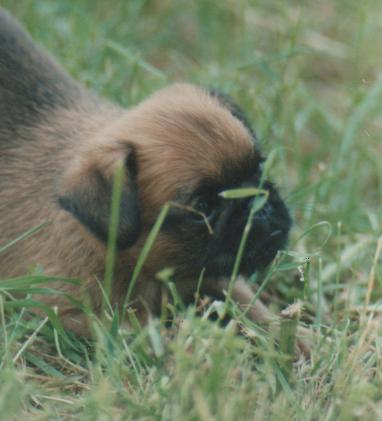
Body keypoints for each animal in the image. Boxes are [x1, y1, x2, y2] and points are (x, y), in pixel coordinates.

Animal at [0, 9, 292, 336]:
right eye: (202, 209)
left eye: (260, 168)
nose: (260, 207)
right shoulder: (78, 312)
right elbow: (157, 339)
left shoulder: (214, 279)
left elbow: (253, 308)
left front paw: (293, 337)